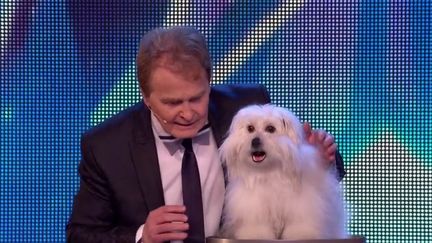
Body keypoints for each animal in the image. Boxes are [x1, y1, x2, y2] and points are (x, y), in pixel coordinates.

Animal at [218, 103, 346, 240]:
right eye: (250, 128)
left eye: (270, 128)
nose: (255, 141)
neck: (270, 170)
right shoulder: (255, 207)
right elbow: (257, 223)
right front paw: (256, 233)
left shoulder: (301, 205)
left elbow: (300, 221)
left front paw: (301, 233)